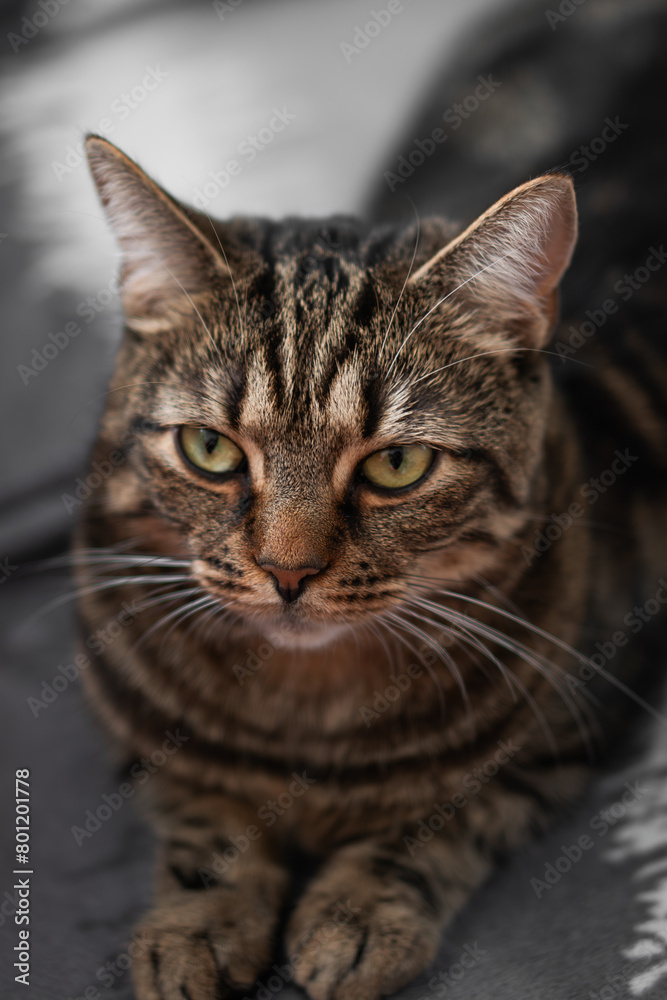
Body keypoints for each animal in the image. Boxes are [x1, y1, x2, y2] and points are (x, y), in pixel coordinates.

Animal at [77, 133, 667, 1000]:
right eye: (210, 448)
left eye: (396, 465)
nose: (286, 570)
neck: (308, 711)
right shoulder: (146, 738)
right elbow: (205, 817)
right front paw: (198, 921)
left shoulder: (563, 735)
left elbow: (439, 818)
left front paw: (355, 913)